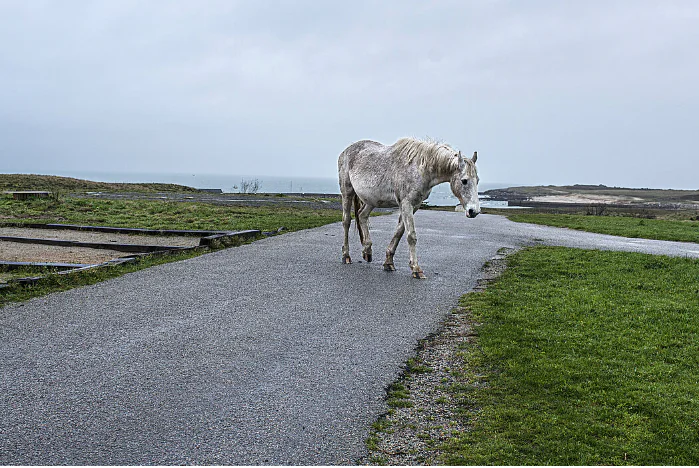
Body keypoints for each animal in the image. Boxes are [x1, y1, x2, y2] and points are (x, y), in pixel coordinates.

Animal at [340, 138, 482, 278]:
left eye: (477, 180)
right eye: (464, 181)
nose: (474, 211)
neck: (420, 169)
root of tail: (345, 151)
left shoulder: (414, 205)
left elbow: (399, 232)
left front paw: (388, 262)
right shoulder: (406, 203)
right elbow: (411, 236)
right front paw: (416, 269)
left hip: (371, 200)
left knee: (362, 215)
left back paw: (367, 251)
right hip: (347, 192)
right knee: (346, 221)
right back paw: (346, 255)